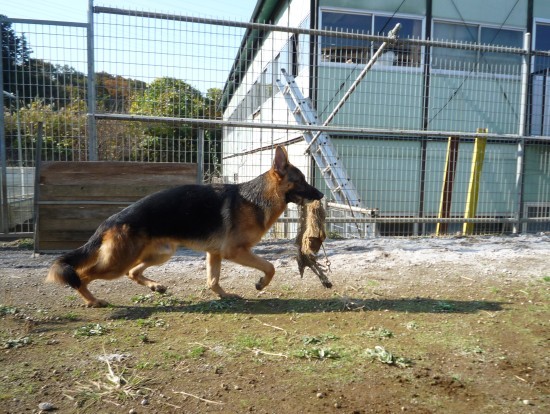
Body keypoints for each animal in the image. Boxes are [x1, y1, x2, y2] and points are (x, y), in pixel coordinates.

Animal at [47, 146, 326, 308]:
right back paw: (93, 300)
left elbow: (212, 280)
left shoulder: (214, 253)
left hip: (160, 254)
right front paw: (260, 284)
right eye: (301, 180)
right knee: (82, 275)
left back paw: (155, 286)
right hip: (117, 263)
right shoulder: (234, 252)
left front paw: (224, 295)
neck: (258, 197)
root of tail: (111, 219)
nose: (322, 194)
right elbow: (270, 267)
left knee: (132, 272)